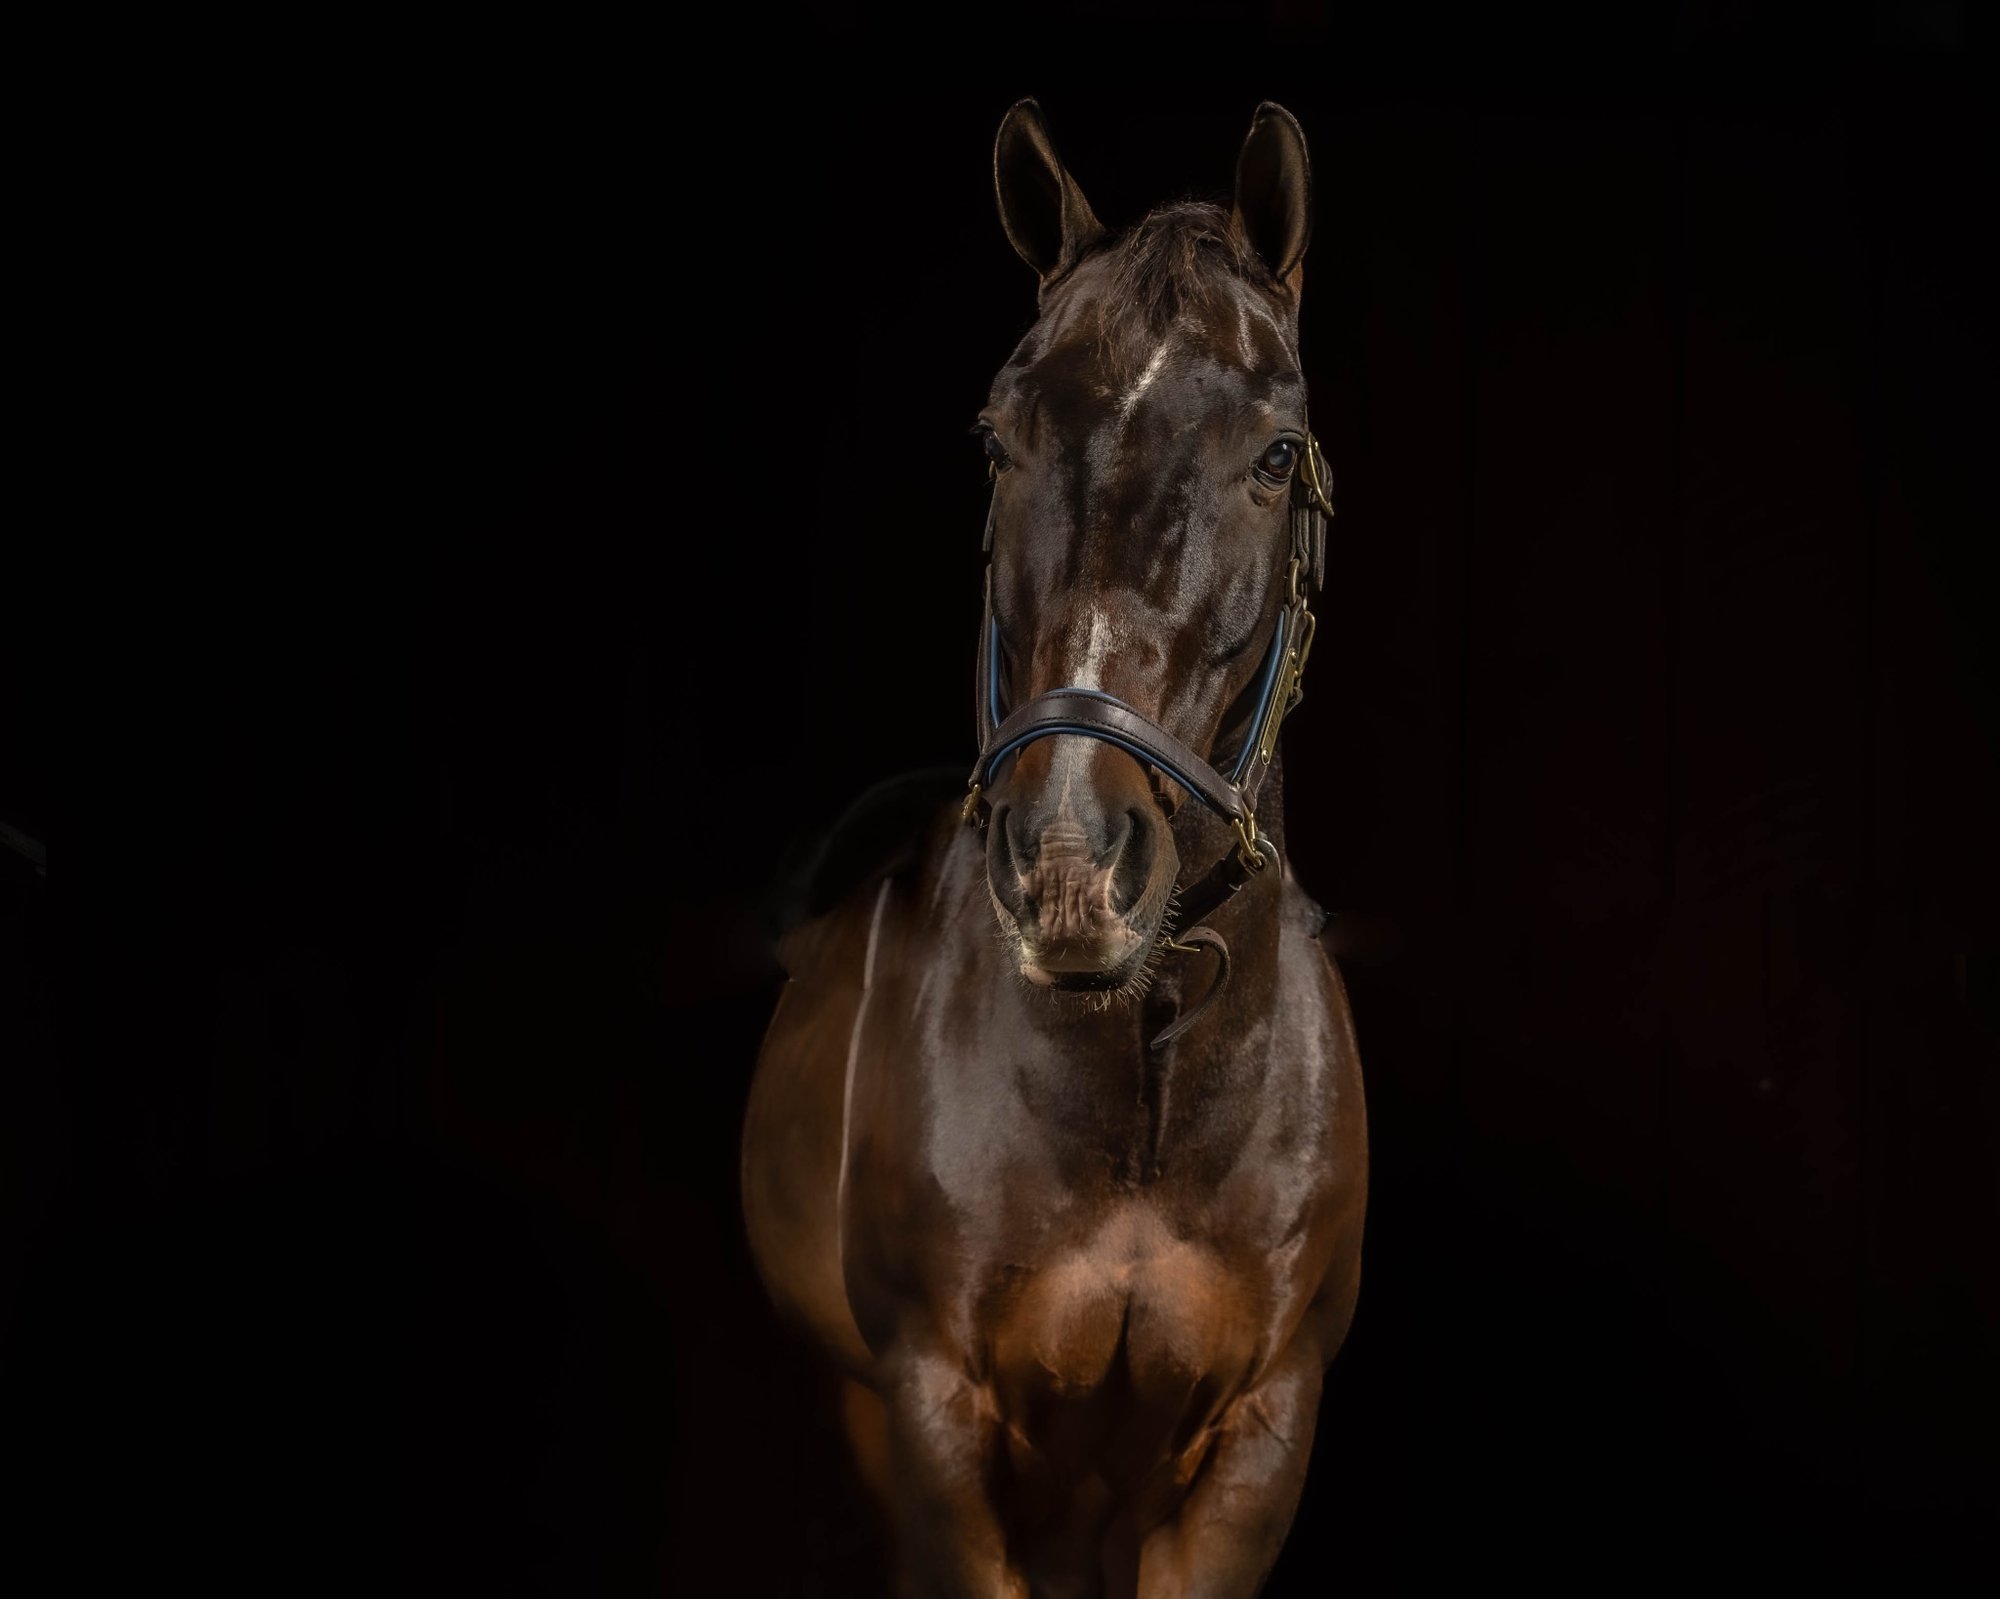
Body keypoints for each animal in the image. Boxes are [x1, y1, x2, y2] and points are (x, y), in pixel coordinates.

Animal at [742, 99, 1368, 1598]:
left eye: (1275, 454)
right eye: (996, 440)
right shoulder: (937, 1426)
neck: (1146, 1070)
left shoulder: (1256, 1442)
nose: (1074, 862)